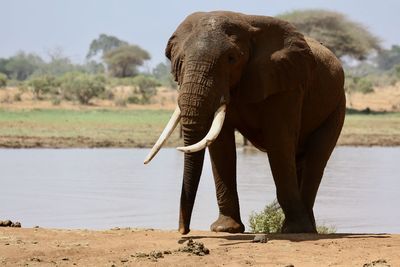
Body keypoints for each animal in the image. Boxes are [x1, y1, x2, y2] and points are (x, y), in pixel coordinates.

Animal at [143, 11, 344, 236]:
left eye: (231, 59)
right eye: (182, 60)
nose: (183, 231)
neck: (247, 22)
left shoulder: (286, 84)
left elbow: (280, 141)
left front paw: (294, 230)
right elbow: (221, 145)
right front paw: (225, 229)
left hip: (337, 105)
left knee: (316, 158)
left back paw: (303, 230)